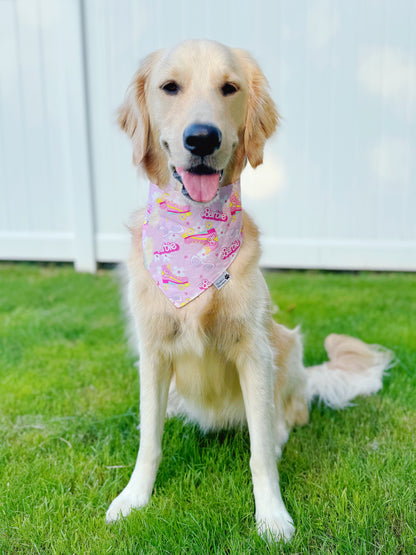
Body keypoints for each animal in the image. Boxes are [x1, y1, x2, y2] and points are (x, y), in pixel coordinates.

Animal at [105, 40, 392, 544]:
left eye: (230, 88)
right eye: (169, 87)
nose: (203, 138)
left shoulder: (255, 351)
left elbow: (259, 453)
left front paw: (272, 516)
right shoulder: (153, 350)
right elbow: (149, 440)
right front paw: (133, 499)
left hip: (287, 345)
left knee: (286, 417)